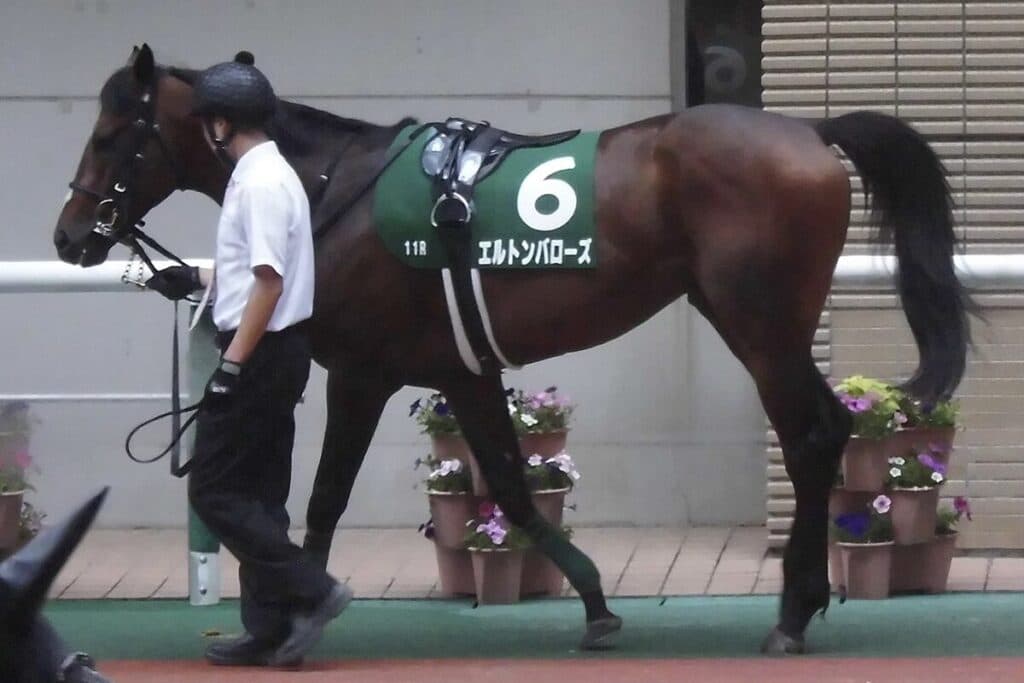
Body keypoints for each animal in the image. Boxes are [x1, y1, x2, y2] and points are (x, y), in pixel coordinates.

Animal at [53, 45, 972, 654]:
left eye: (108, 133)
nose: (69, 235)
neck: (328, 185)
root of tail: (808, 132)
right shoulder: (460, 370)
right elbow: (510, 485)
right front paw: (597, 603)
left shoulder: (362, 371)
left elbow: (324, 499)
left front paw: (294, 622)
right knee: (824, 430)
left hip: (760, 323)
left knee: (813, 434)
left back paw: (790, 615)